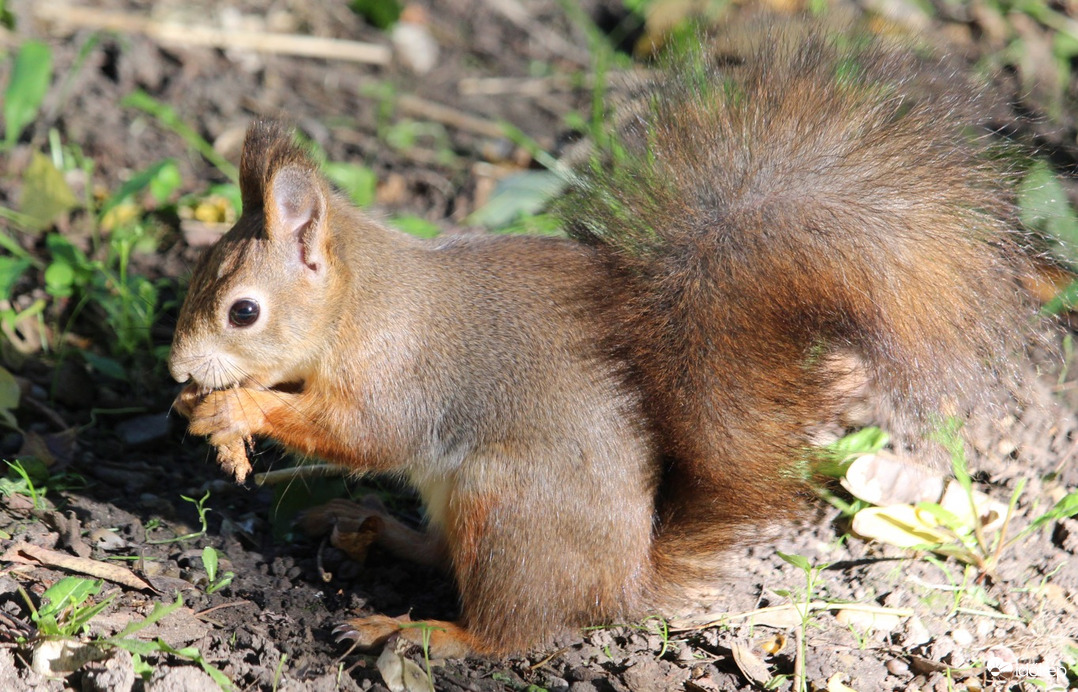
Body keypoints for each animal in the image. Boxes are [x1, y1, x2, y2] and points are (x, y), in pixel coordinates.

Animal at [170, 24, 1043, 655]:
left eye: (242, 311)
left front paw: (237, 408)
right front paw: (215, 408)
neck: (358, 306)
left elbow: (363, 433)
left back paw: (422, 631)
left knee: (509, 631)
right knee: (439, 556)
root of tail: (621, 583)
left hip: (504, 513)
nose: (177, 365)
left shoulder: (399, 375)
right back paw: (368, 525)